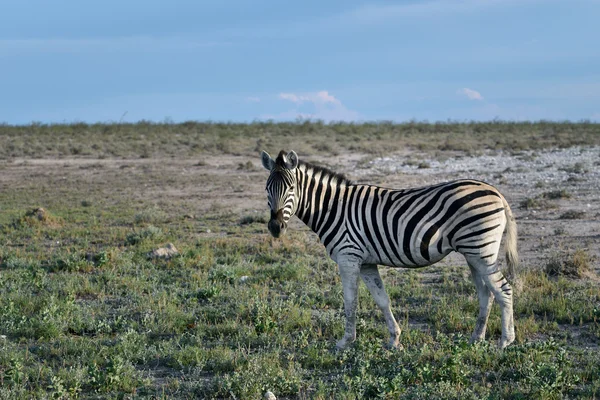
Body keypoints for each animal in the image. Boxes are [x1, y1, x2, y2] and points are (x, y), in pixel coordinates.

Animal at [260, 150, 516, 350]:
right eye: (267, 189)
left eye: (291, 188)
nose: (275, 227)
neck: (332, 208)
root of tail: (496, 192)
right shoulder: (366, 262)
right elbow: (382, 299)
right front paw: (394, 339)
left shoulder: (348, 258)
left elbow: (350, 301)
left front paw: (345, 342)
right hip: (473, 254)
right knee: (485, 294)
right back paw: (476, 338)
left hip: (481, 251)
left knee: (503, 289)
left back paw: (505, 341)